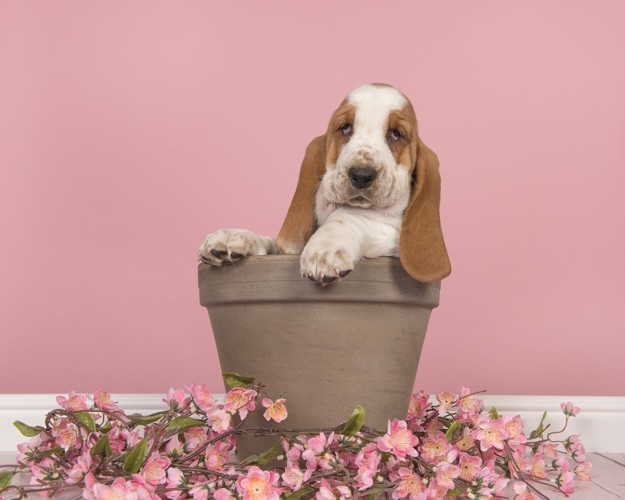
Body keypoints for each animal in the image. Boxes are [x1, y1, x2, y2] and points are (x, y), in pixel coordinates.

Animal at [199, 84, 448, 284]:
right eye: (345, 128)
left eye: (396, 134)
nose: (361, 175)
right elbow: (272, 242)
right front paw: (233, 236)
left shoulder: (391, 237)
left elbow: (350, 217)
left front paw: (324, 249)